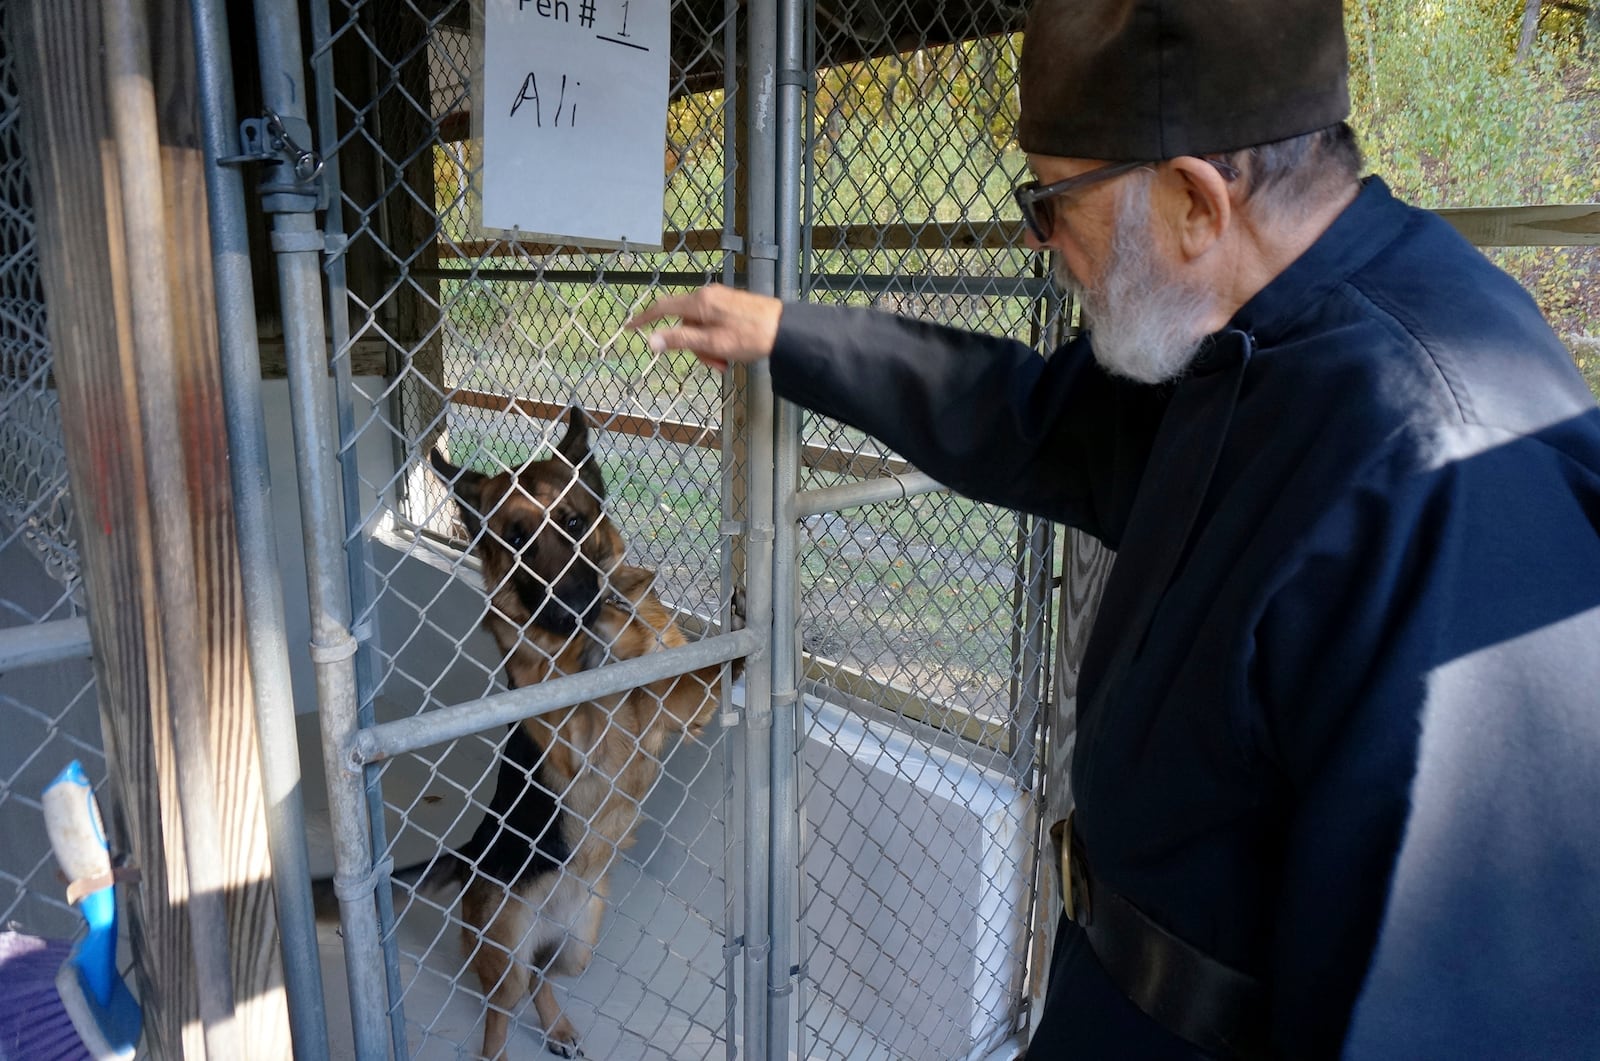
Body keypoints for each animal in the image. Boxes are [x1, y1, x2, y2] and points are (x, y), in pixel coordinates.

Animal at [412, 409, 736, 1056]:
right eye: (513, 540)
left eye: (573, 521)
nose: (569, 608)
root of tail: (473, 856)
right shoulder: (569, 740)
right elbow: (574, 681)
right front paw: (595, 637)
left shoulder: (680, 707)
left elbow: (703, 670)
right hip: (505, 953)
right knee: (500, 1007)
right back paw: (498, 1046)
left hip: (579, 946)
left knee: (544, 977)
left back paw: (558, 1026)